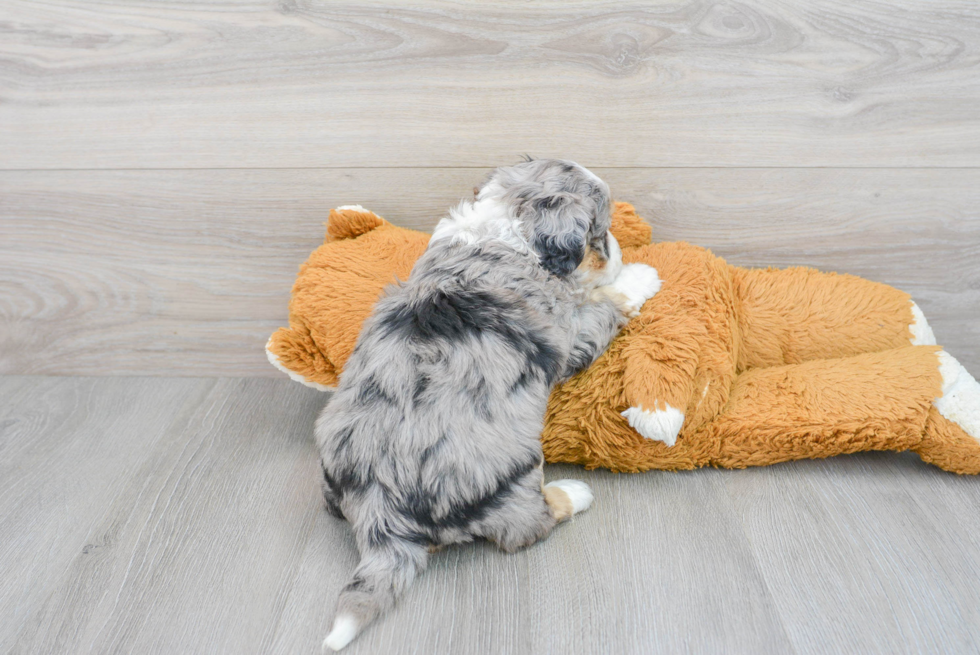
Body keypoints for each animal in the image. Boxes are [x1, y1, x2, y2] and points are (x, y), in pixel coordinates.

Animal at [318, 159, 664, 652]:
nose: (615, 246)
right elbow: (605, 302)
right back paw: (572, 493)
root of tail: (380, 509)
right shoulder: (569, 333)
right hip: (513, 478)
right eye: (597, 236)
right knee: (530, 525)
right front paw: (640, 276)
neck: (504, 229)